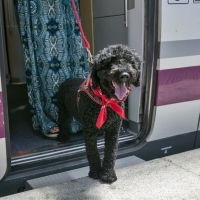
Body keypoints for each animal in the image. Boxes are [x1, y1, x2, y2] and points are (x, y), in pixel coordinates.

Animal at [57, 44, 141, 184]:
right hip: (63, 110)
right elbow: (93, 152)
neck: (105, 101)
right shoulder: (89, 131)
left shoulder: (114, 130)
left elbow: (111, 153)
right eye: (109, 63)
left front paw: (108, 174)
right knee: (63, 123)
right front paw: (96, 172)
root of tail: (67, 80)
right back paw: (62, 137)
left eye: (130, 62)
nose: (125, 75)